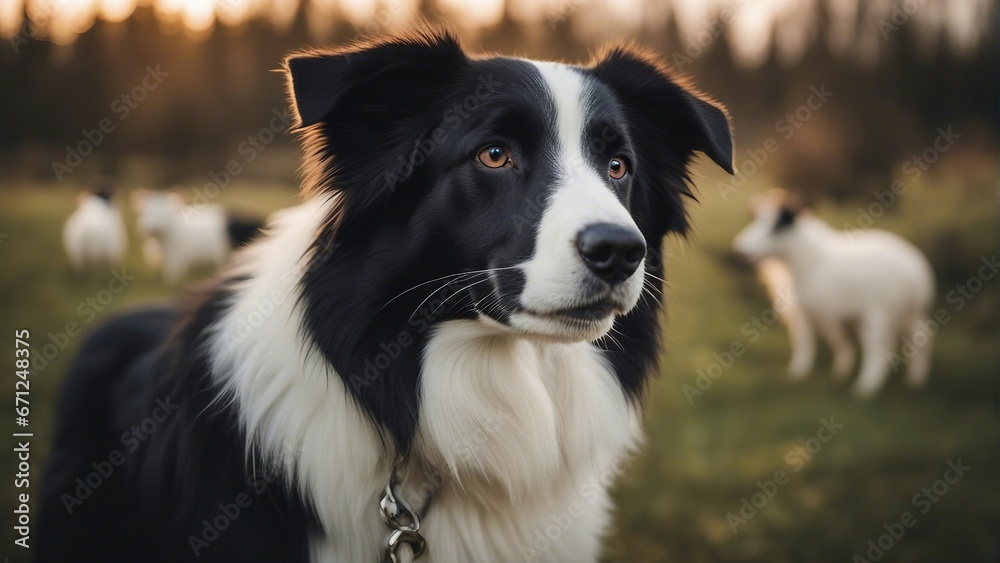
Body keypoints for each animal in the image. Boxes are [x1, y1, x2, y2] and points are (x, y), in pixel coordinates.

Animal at [732, 192, 932, 398]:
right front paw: (840, 371)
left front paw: (798, 373)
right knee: (920, 336)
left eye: (778, 225)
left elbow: (805, 342)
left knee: (878, 348)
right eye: (756, 219)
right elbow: (838, 341)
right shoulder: (827, 313)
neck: (804, 257)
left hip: (880, 314)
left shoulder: (812, 312)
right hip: (907, 312)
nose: (739, 251)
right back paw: (915, 380)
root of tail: (918, 272)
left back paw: (867, 387)